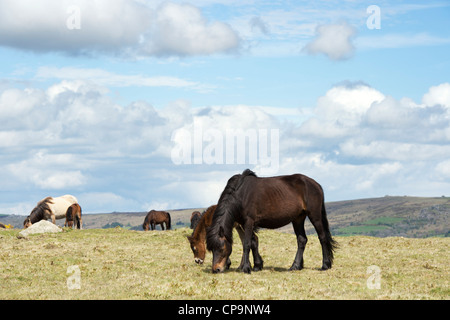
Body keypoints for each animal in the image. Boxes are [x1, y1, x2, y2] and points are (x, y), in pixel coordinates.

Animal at [206, 169, 336, 274]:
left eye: (221, 248)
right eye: (211, 249)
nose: (216, 269)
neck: (241, 194)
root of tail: (316, 184)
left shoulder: (249, 222)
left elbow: (247, 244)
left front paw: (246, 268)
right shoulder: (245, 223)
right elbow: (253, 242)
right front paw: (257, 266)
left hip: (315, 216)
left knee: (322, 238)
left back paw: (325, 265)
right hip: (298, 219)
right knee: (302, 240)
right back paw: (295, 266)